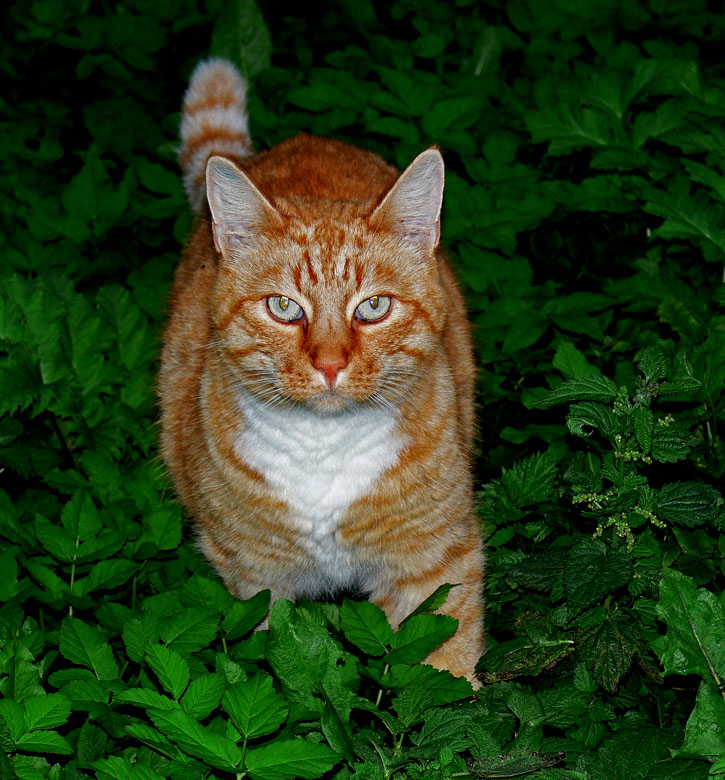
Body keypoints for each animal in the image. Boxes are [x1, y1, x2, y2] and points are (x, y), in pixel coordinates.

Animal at [161, 59, 484, 684]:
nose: (331, 363)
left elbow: (444, 673)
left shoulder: (436, 560)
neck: (324, 449)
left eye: (373, 307)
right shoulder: (257, 580)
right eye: (284, 307)